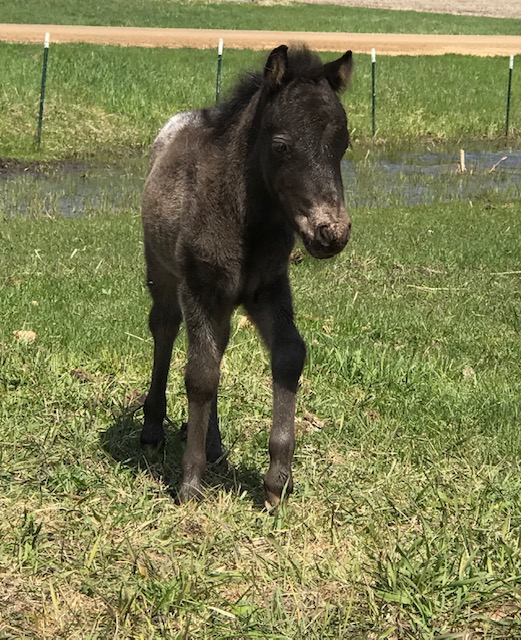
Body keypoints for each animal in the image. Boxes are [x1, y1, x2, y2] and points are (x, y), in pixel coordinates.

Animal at [140, 44, 353, 507]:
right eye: (282, 145)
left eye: (343, 144)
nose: (332, 233)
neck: (244, 220)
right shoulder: (200, 290)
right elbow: (200, 375)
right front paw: (190, 482)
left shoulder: (268, 289)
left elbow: (289, 354)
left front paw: (277, 480)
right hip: (162, 273)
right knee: (164, 328)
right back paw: (152, 429)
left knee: (217, 347)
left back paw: (214, 442)